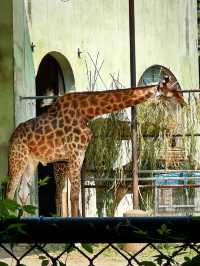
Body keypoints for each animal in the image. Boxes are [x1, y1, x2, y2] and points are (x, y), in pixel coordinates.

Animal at [5, 76, 186, 216]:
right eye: (173, 88)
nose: (183, 102)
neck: (87, 112)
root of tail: (12, 136)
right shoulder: (75, 153)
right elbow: (75, 196)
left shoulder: (79, 155)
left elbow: (76, 195)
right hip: (19, 158)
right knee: (10, 192)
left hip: (32, 162)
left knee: (23, 193)